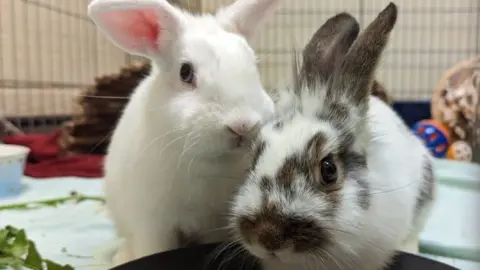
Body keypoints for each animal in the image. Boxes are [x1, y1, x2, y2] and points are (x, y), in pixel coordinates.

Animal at [87, 0, 282, 266]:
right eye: (185, 72)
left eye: (255, 65)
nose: (243, 125)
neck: (211, 163)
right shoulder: (154, 225)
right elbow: (154, 250)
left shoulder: (217, 225)